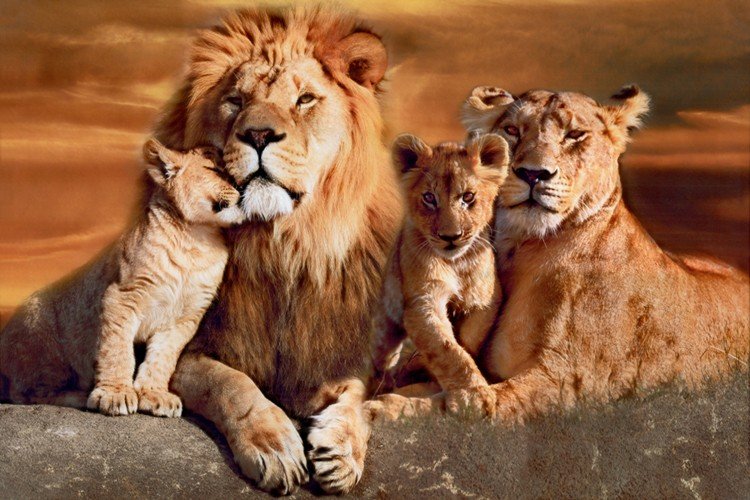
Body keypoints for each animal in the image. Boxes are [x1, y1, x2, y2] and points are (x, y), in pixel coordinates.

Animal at [0, 140, 244, 417]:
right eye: (214, 170)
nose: (243, 187)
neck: (197, 238)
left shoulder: (185, 317)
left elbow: (163, 358)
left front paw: (154, 394)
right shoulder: (122, 296)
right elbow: (117, 350)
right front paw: (115, 394)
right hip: (43, 341)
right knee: (26, 394)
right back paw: (81, 394)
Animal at [151, 6, 401, 495]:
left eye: (304, 100)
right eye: (235, 100)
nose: (259, 134)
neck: (283, 246)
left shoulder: (348, 355)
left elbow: (356, 395)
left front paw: (342, 450)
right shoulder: (181, 348)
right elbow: (230, 383)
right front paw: (274, 447)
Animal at [370, 133, 508, 397]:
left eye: (468, 197)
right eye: (429, 198)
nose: (450, 236)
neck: (456, 263)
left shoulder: (485, 300)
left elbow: (467, 341)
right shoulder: (422, 303)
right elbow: (447, 349)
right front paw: (474, 395)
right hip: (386, 321)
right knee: (381, 360)